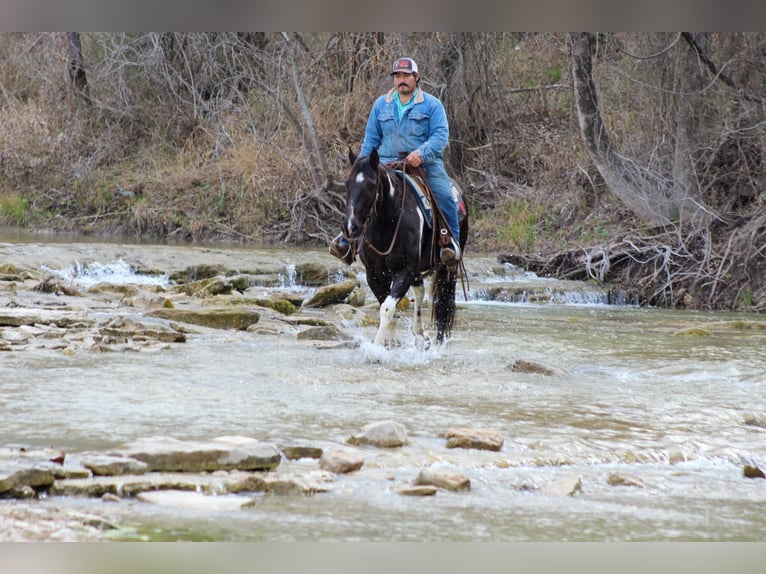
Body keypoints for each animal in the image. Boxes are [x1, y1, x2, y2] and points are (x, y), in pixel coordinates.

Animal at [344, 148, 468, 346]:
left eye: (371, 185)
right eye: (347, 184)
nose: (350, 227)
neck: (386, 224)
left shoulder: (405, 269)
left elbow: (387, 309)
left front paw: (376, 348)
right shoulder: (374, 273)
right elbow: (389, 310)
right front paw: (390, 346)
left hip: (448, 267)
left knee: (443, 306)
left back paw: (438, 345)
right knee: (419, 291)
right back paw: (420, 332)